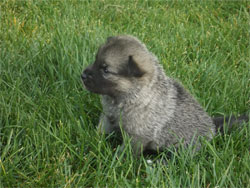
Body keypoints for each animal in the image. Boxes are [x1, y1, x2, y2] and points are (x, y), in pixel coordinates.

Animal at [81, 35, 248, 156]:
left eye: (105, 70)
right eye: (95, 60)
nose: (83, 75)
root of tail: (212, 127)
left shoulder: (137, 136)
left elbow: (126, 151)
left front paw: (116, 160)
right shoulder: (107, 118)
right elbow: (101, 130)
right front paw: (93, 140)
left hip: (183, 147)